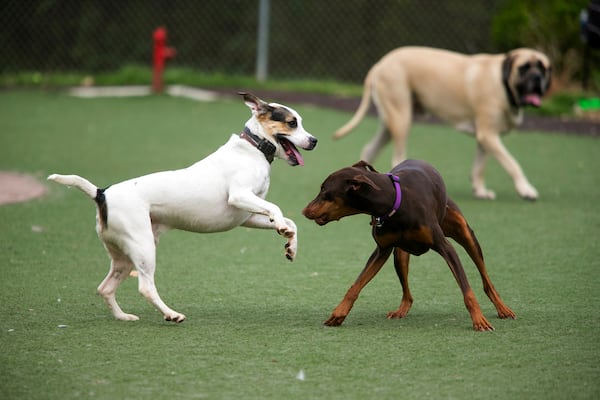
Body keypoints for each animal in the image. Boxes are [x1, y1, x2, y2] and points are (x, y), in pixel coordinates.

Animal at [48, 92, 318, 324]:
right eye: (292, 123)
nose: (314, 140)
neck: (253, 148)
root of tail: (102, 193)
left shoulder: (247, 217)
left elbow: (290, 222)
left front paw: (290, 245)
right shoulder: (239, 196)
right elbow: (276, 208)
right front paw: (282, 228)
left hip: (124, 256)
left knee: (105, 288)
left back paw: (123, 317)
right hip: (144, 248)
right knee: (145, 287)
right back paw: (171, 314)